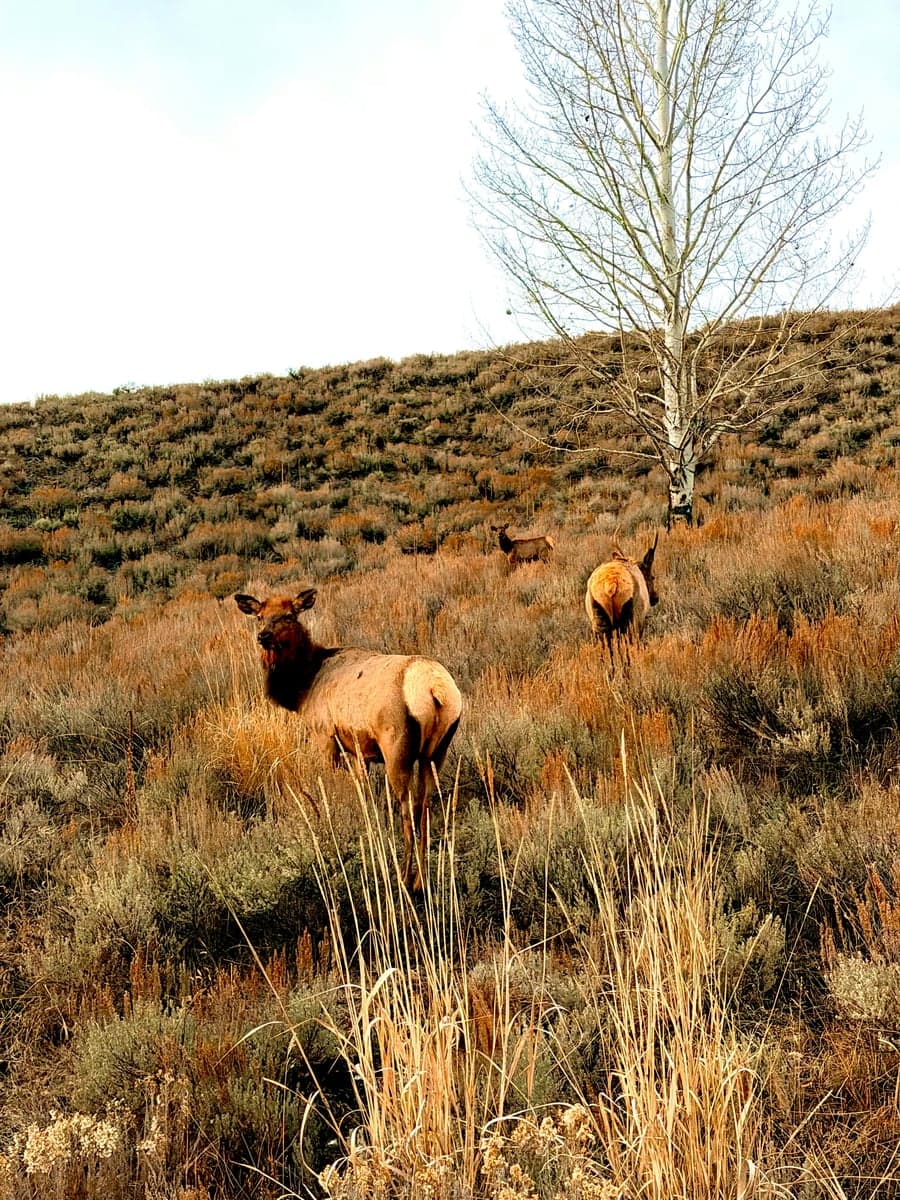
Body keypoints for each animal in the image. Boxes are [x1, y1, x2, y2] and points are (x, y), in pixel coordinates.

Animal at [234, 588, 463, 892]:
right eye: (259, 616)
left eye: (289, 615)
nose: (264, 636)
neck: (303, 689)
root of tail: (435, 689)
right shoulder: (359, 751)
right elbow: (364, 795)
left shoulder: (325, 735)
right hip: (437, 751)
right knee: (425, 805)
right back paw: (421, 880)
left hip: (396, 745)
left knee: (407, 810)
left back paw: (404, 879)